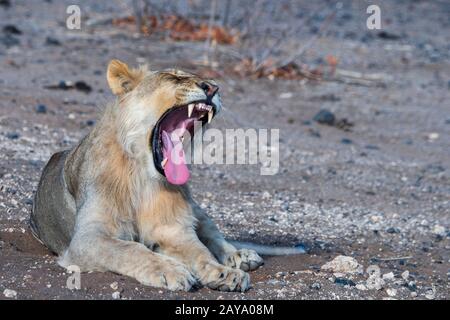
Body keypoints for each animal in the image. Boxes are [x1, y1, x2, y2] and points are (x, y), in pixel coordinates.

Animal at [30, 58, 302, 292]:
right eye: (174, 77)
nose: (213, 87)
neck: (142, 175)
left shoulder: (173, 229)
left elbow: (200, 251)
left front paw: (222, 273)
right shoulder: (88, 238)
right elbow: (130, 249)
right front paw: (172, 271)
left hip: (196, 210)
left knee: (214, 236)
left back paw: (240, 256)